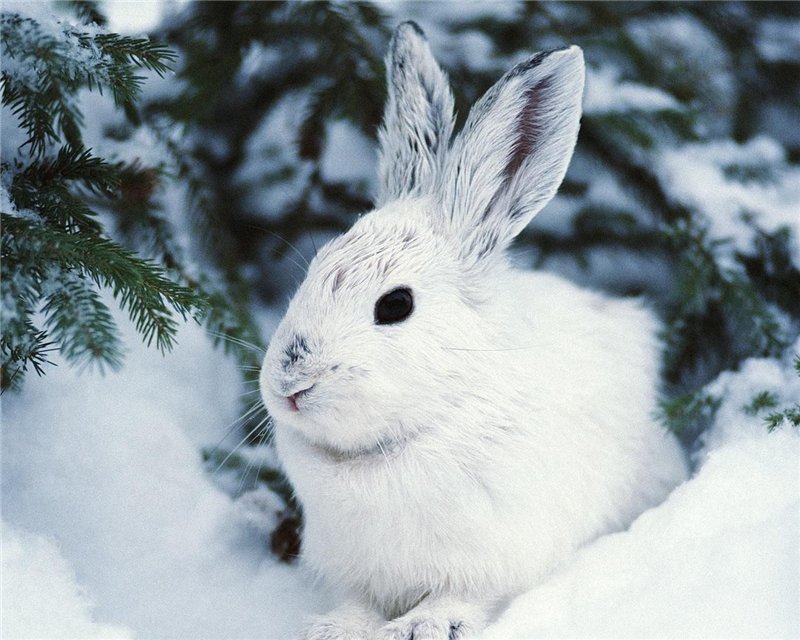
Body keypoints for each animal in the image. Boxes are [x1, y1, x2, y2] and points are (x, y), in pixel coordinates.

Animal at [259, 21, 689, 640]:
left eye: (395, 305)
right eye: (313, 271)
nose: (289, 385)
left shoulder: (492, 557)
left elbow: (462, 596)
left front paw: (421, 627)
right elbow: (358, 602)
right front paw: (335, 628)